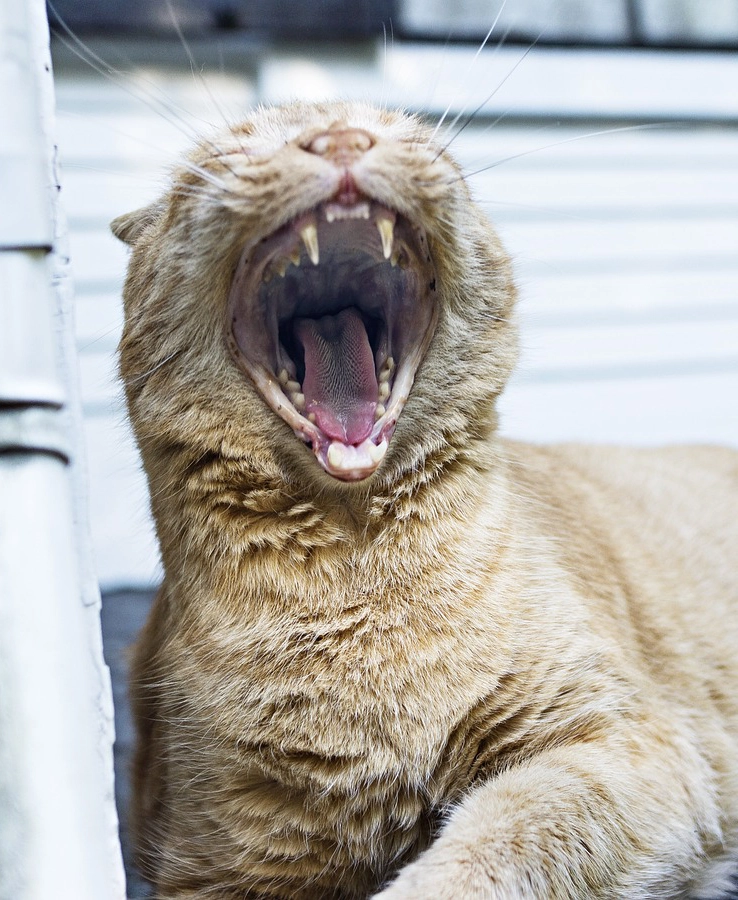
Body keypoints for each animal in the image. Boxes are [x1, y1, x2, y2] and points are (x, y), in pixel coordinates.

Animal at [112, 100, 738, 899]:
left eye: (401, 133)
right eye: (235, 150)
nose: (340, 139)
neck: (359, 584)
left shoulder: (631, 744)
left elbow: (489, 849)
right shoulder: (221, 866)